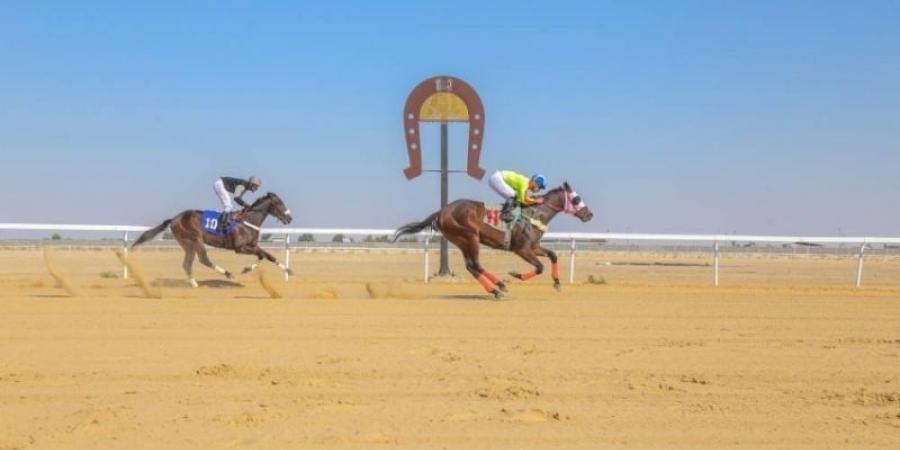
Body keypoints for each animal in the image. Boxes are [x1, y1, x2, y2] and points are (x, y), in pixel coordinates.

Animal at [130, 192, 294, 286]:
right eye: (279, 203)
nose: (289, 218)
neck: (247, 220)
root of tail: (174, 219)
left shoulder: (252, 245)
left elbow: (267, 255)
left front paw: (288, 270)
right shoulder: (240, 248)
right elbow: (263, 254)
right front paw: (245, 269)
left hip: (187, 244)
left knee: (187, 263)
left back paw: (194, 283)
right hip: (195, 239)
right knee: (203, 259)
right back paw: (228, 274)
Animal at [392, 181, 592, 298]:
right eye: (576, 199)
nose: (589, 214)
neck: (535, 213)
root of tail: (441, 211)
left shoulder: (534, 247)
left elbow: (553, 255)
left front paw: (557, 283)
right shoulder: (522, 249)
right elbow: (540, 267)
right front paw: (515, 274)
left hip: (461, 241)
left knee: (471, 267)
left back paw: (497, 287)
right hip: (470, 237)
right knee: (476, 265)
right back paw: (498, 287)